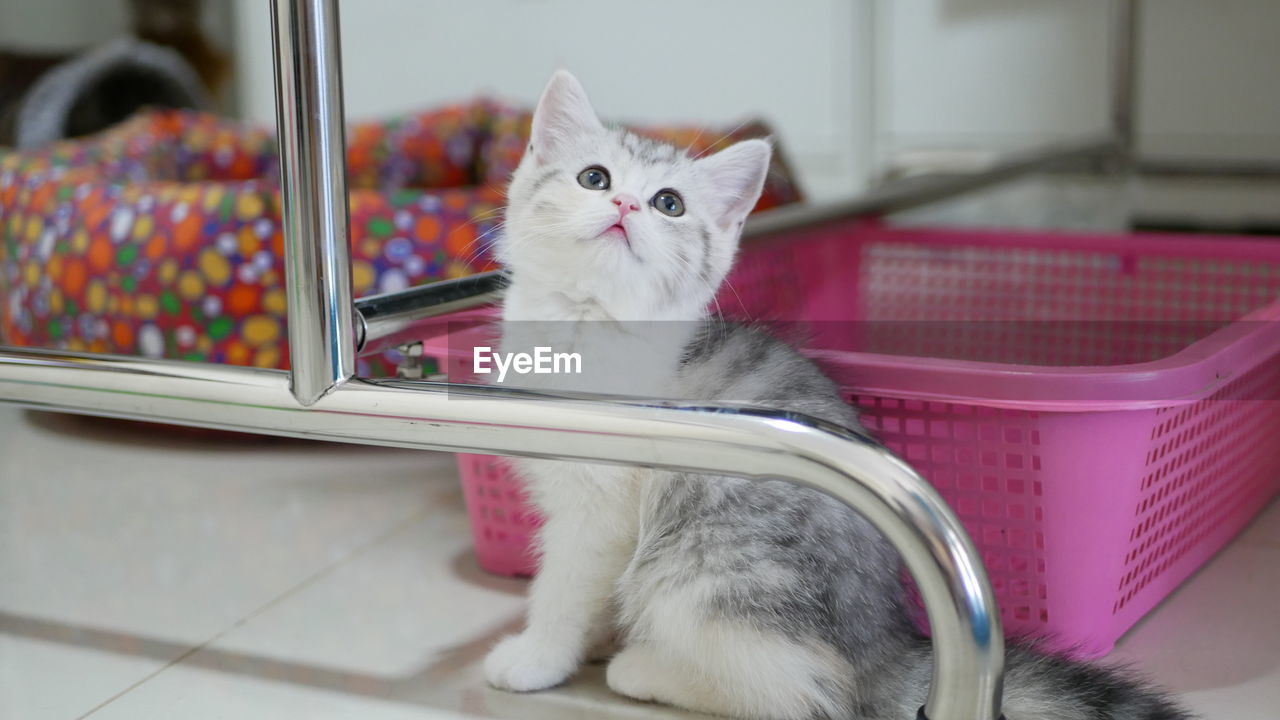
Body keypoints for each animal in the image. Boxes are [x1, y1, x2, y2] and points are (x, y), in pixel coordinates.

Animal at [481, 71, 1187, 717]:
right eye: (595, 178)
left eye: (669, 204)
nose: (626, 205)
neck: (586, 323)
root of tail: (887, 646)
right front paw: (590, 638)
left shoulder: (598, 505)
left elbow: (564, 586)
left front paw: (537, 657)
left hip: (703, 570)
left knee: (802, 689)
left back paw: (648, 669)